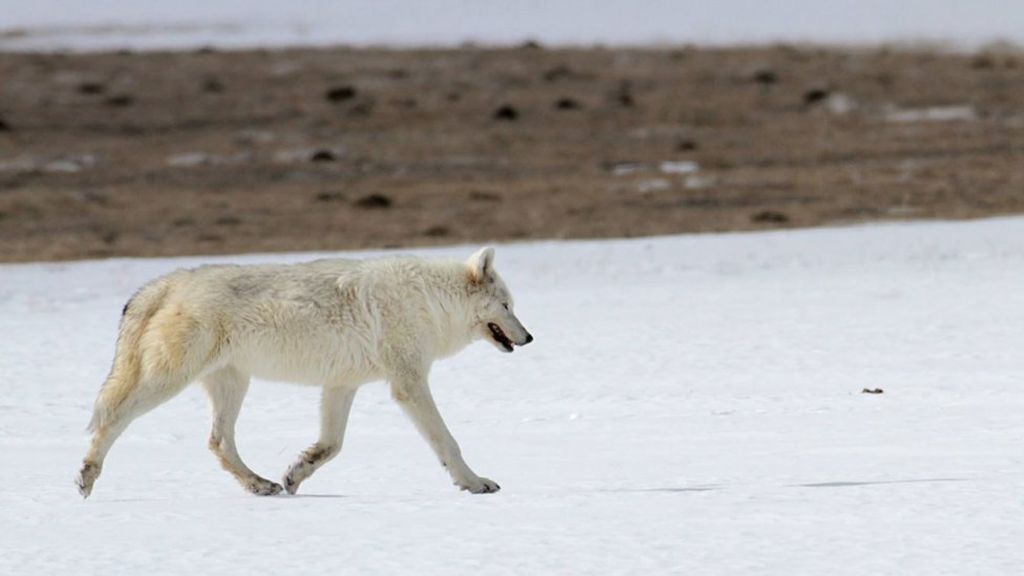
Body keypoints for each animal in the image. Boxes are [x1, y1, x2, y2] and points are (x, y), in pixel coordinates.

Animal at [76, 247, 532, 498]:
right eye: (507, 305)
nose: (528, 337)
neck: (430, 301)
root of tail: (166, 282)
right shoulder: (408, 384)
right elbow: (447, 442)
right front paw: (475, 483)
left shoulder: (342, 386)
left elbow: (331, 445)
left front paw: (295, 474)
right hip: (169, 381)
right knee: (113, 419)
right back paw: (86, 476)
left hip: (232, 385)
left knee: (218, 442)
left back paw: (261, 485)